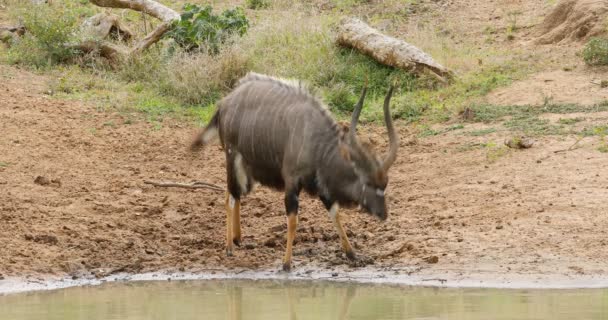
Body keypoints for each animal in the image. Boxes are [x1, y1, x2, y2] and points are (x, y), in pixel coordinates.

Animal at [191, 72, 400, 270]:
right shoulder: (292, 181)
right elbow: (293, 220)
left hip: (246, 171)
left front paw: (352, 255)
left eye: (386, 184)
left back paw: (238, 239)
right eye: (366, 182)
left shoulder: (322, 188)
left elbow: (335, 214)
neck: (316, 142)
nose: (383, 214)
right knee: (230, 198)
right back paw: (229, 247)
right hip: (232, 158)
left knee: (234, 194)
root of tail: (224, 103)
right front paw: (286, 264)